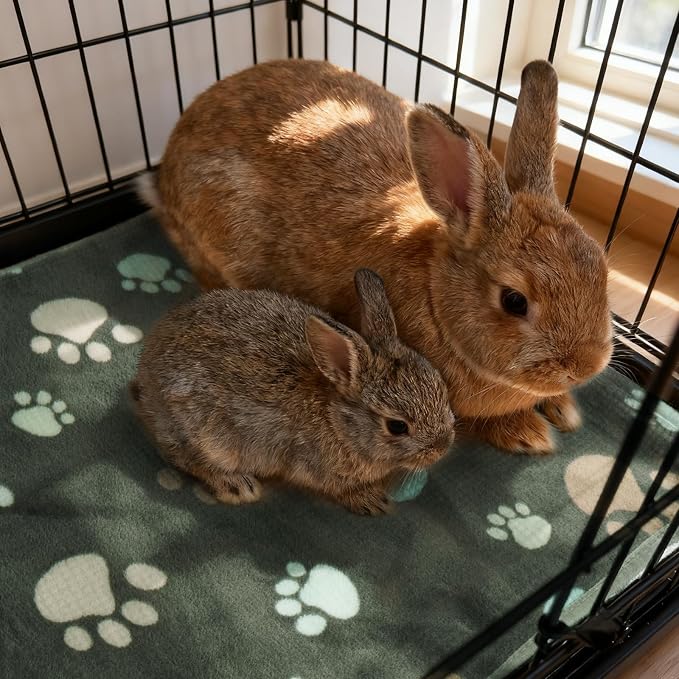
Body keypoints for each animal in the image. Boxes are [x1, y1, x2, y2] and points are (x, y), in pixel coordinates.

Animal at [130, 269, 456, 515]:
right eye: (397, 426)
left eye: (441, 386)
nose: (442, 448)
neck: (338, 421)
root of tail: (145, 380)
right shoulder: (317, 469)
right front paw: (372, 501)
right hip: (204, 433)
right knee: (183, 457)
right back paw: (236, 486)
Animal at [138, 58, 612, 455]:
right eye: (514, 301)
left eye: (601, 269)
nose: (586, 366)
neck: (436, 295)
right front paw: (528, 433)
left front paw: (563, 408)